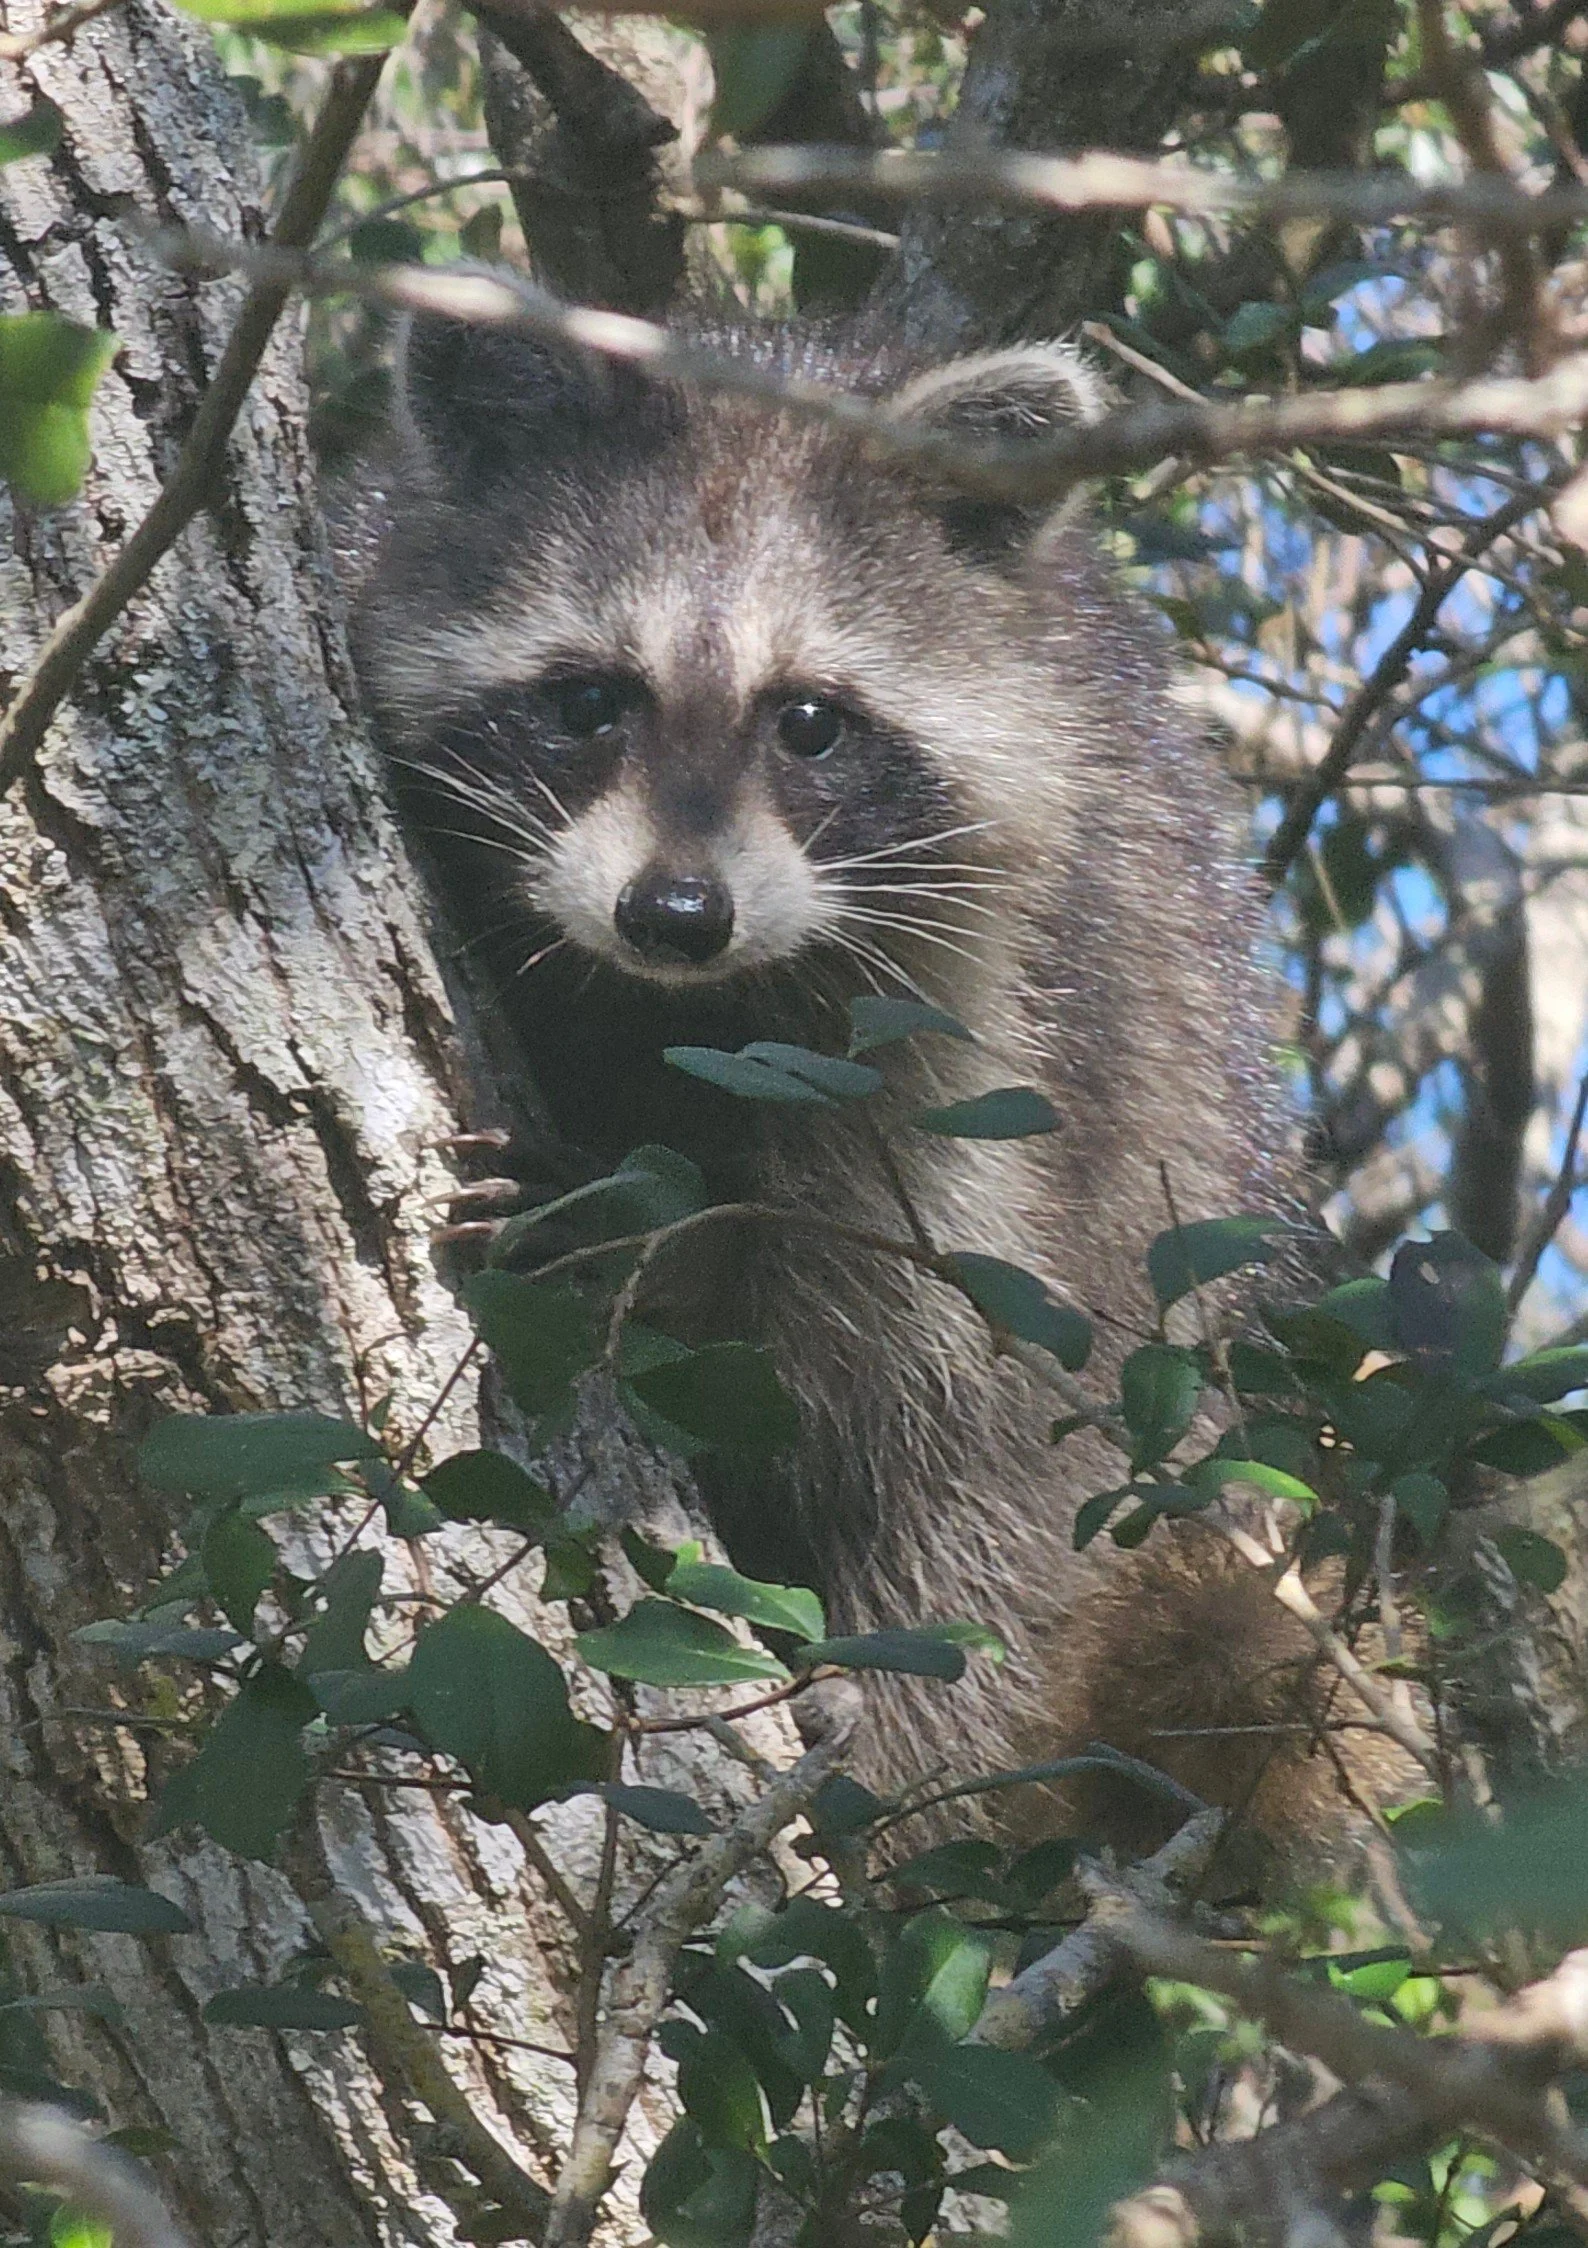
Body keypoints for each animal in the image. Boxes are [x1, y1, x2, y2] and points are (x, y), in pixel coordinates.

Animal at [354, 312, 1356, 1844]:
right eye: (587, 700)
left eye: (810, 721)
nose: (675, 914)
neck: (670, 1003)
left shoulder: (1002, 1017)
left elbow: (911, 1347)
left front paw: (663, 1239)